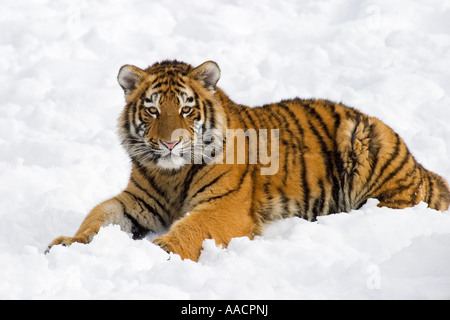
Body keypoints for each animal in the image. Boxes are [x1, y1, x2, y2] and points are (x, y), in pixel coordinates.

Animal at [45, 59, 450, 260]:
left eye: (186, 109)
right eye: (153, 110)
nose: (171, 143)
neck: (172, 174)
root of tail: (421, 166)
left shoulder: (224, 206)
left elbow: (192, 227)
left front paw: (160, 251)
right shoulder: (137, 202)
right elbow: (98, 216)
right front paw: (68, 244)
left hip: (365, 141)